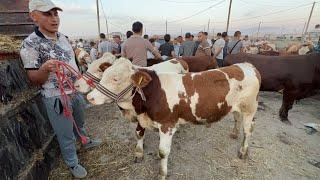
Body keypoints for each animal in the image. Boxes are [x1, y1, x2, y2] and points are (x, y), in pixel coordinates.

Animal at [87, 58, 260, 179]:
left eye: (115, 78)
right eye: (103, 74)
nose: (90, 97)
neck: (154, 92)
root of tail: (246, 65)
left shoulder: (167, 125)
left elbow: (163, 152)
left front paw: (162, 174)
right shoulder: (143, 119)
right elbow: (139, 134)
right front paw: (139, 154)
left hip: (250, 108)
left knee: (248, 130)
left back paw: (243, 151)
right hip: (235, 106)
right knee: (237, 118)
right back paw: (234, 133)